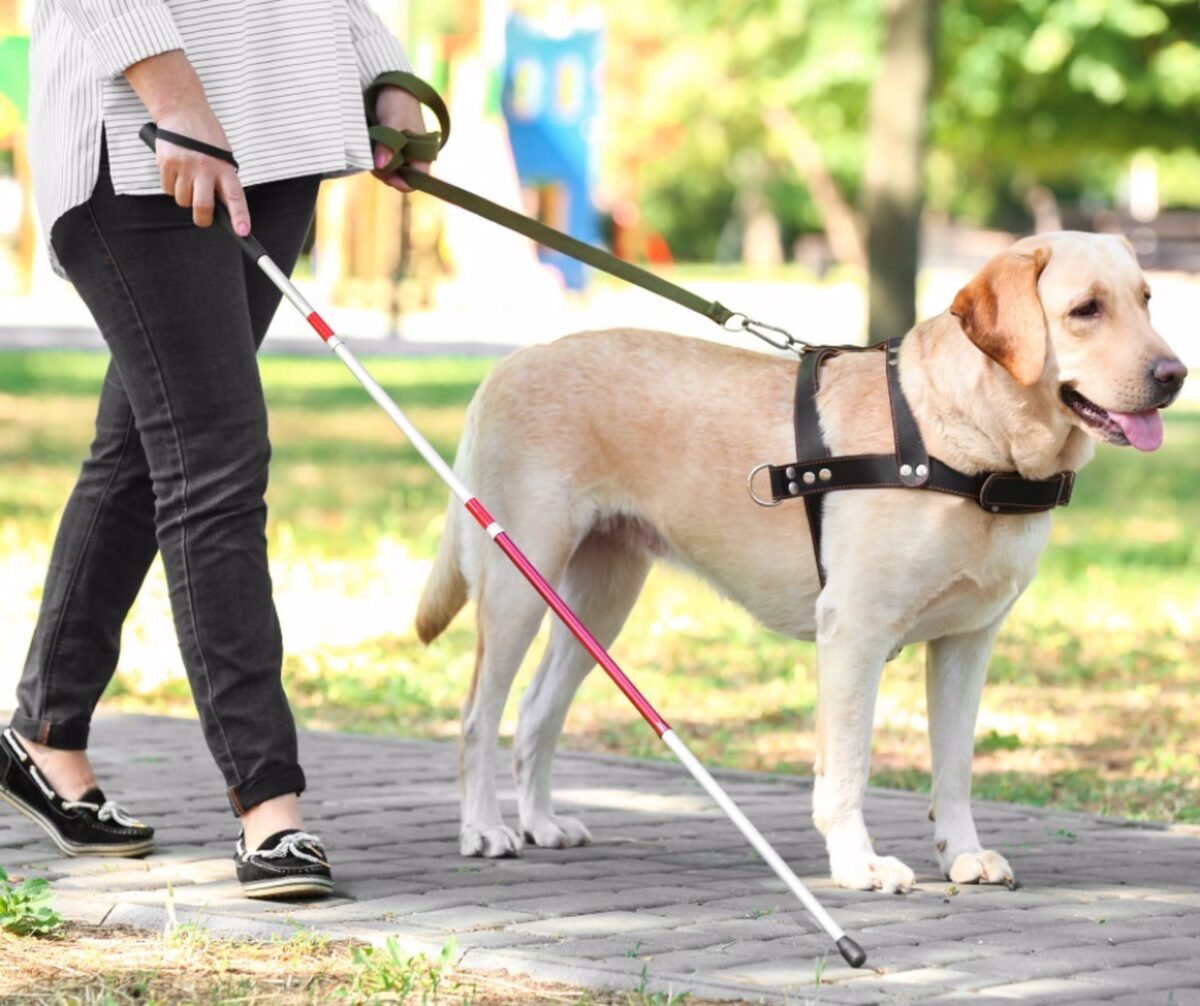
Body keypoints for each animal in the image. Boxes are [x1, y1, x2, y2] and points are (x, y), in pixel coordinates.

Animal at [417, 234, 1185, 888]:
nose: (1175, 374)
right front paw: (858, 865)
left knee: (536, 711)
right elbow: (847, 767)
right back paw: (485, 829)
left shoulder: (969, 641)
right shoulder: (854, 633)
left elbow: (956, 765)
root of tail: (508, 363)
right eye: (1085, 310)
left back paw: (541, 822)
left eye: (1147, 299)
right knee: (478, 714)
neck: (973, 447)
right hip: (517, 582)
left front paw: (962, 855)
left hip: (597, 603)